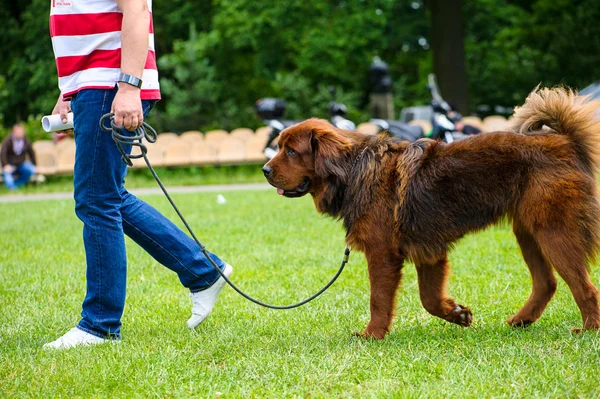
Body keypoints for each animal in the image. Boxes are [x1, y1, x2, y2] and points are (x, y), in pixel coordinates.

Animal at [264, 88, 600, 340]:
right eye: (279, 147)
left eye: (291, 151)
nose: (265, 170)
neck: (353, 171)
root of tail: (564, 140)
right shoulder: (429, 252)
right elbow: (429, 300)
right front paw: (457, 314)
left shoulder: (382, 254)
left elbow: (379, 299)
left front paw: (373, 334)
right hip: (529, 232)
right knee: (547, 283)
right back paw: (522, 320)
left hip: (553, 232)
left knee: (584, 287)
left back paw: (589, 329)